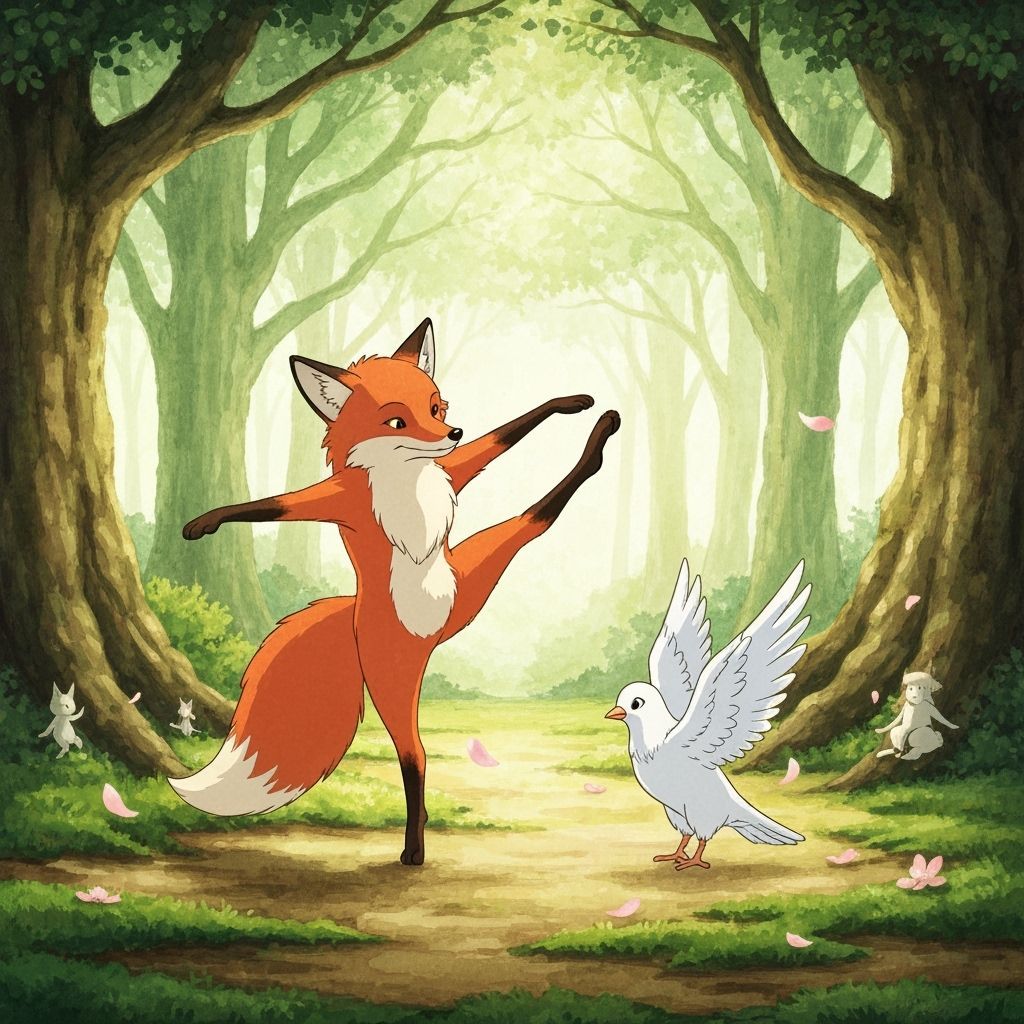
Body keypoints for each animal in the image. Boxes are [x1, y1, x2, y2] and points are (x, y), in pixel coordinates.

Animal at [168, 318, 620, 865]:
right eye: (397, 422)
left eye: (436, 408)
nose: (452, 431)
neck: (407, 479)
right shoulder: (343, 498)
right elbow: (275, 504)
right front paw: (204, 522)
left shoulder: (451, 470)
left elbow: (496, 440)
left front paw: (567, 402)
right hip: (397, 674)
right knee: (415, 756)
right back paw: (413, 846)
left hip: (470, 579)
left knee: (534, 519)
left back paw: (598, 440)